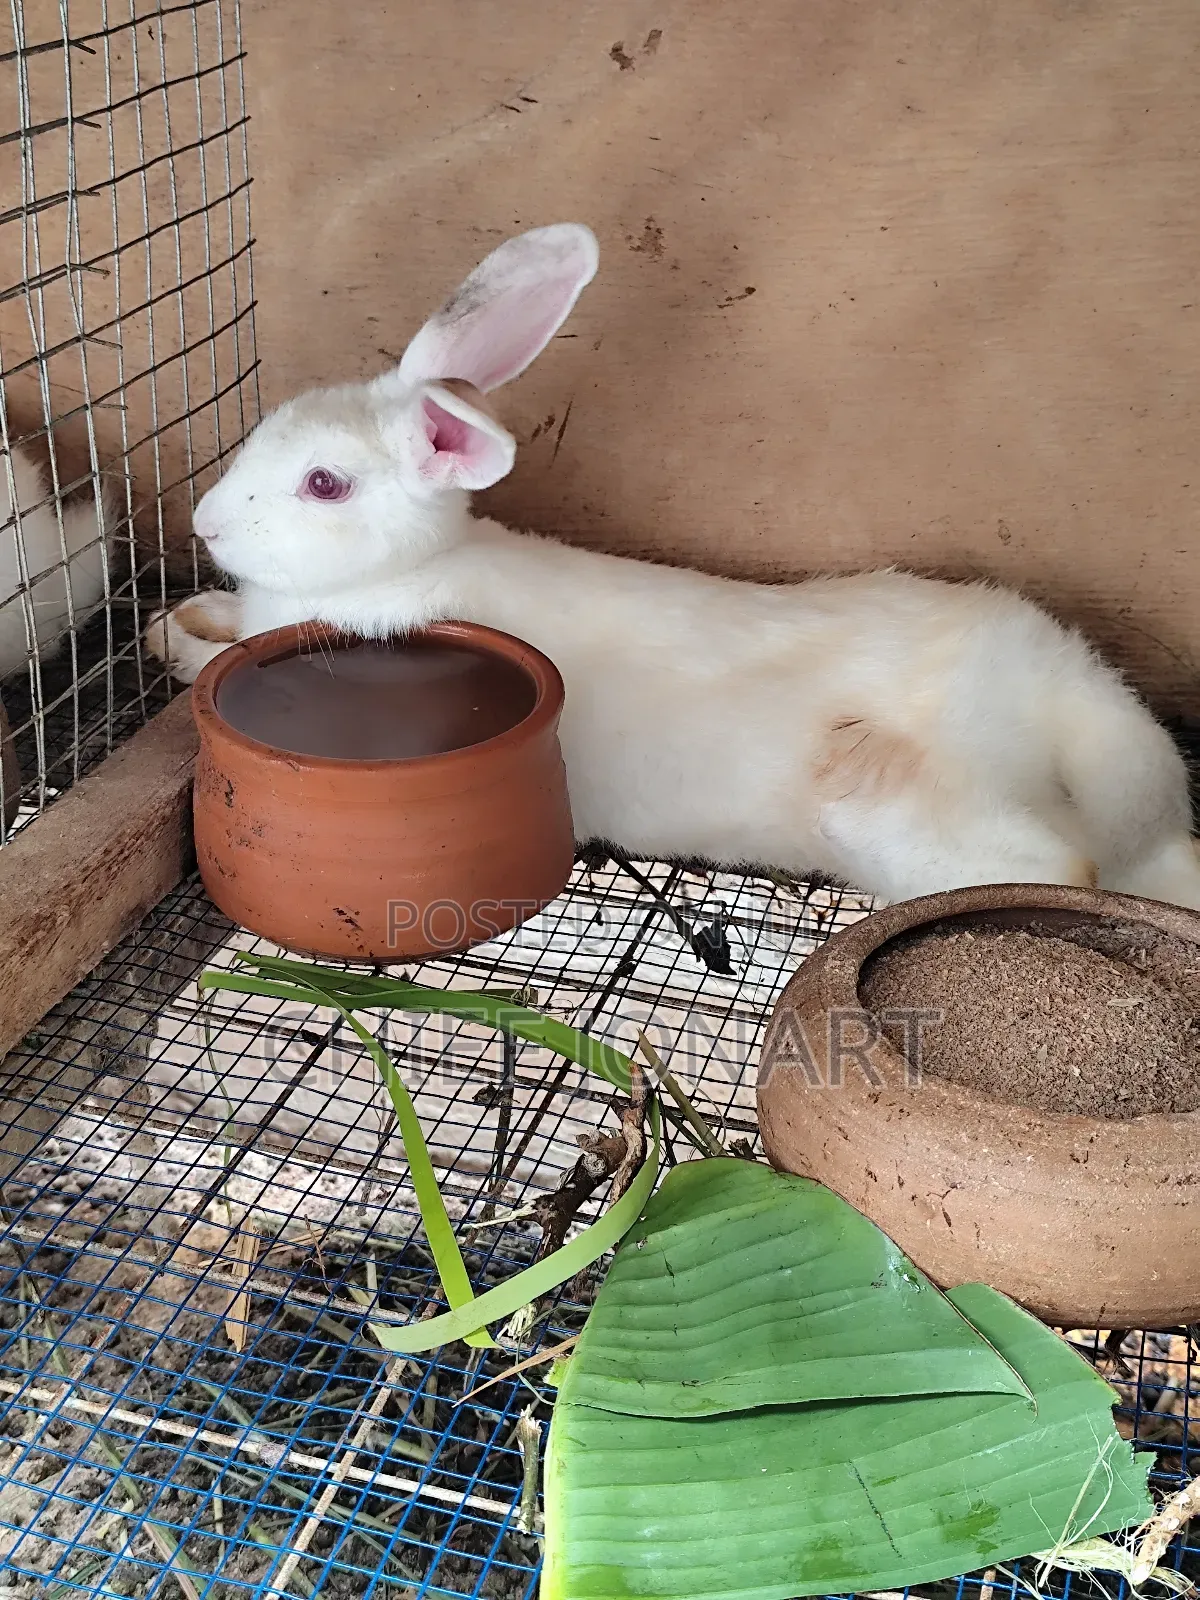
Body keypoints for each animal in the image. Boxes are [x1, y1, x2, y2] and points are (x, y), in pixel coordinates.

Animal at [144, 223, 1200, 911]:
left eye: (324, 484)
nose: (204, 521)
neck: (416, 563)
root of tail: (1057, 683)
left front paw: (185, 648)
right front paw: (175, 622)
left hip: (911, 819)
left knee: (1066, 870)